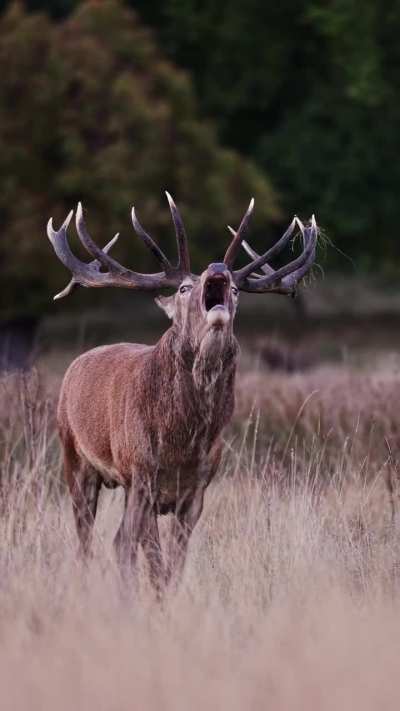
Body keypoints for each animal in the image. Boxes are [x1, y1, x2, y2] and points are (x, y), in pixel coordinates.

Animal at [47, 194, 317, 592]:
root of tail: (76, 364)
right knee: (90, 540)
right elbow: (155, 562)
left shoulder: (198, 489)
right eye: (183, 288)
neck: (182, 441)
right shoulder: (143, 475)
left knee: (117, 541)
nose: (218, 269)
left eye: (236, 290)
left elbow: (174, 564)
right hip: (76, 458)